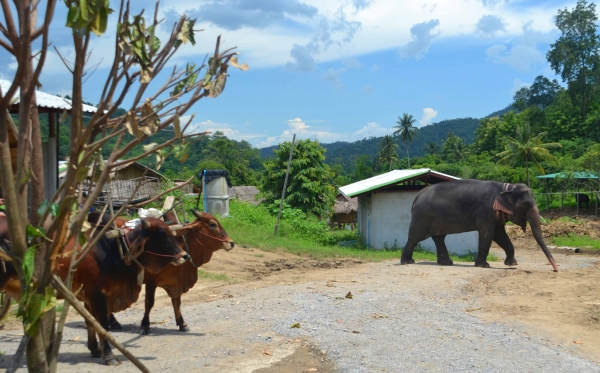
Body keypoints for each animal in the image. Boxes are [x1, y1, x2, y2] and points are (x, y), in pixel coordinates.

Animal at [400, 179, 560, 272]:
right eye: (526, 206)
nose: (555, 269)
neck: (506, 187)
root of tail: (417, 196)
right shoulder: (486, 209)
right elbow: (488, 234)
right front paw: (484, 266)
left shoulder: (494, 214)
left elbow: (500, 235)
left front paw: (512, 264)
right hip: (422, 216)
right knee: (415, 237)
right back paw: (407, 262)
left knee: (439, 237)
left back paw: (446, 263)